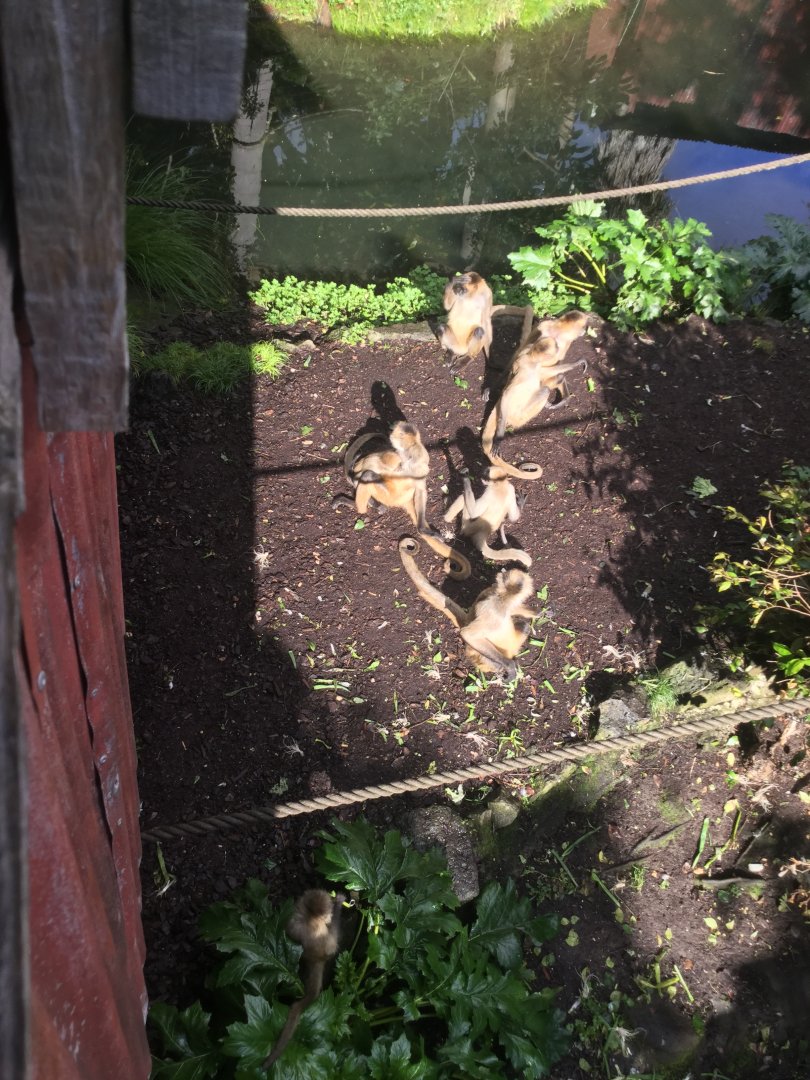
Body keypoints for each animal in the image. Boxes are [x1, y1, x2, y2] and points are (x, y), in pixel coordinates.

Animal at [263, 889, 345, 1069]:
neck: (310, 916)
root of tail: (316, 960)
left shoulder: (294, 916)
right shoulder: (324, 935)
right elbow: (332, 943)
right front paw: (338, 904)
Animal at [332, 421, 471, 579]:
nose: (390, 434)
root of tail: (405, 500)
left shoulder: (417, 459)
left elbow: (419, 487)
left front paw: (423, 529)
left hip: (389, 495)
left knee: (368, 475)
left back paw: (361, 506)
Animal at [398, 536, 535, 681]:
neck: (503, 600)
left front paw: (537, 613)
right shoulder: (493, 609)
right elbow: (468, 634)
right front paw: (510, 667)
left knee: (525, 626)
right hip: (477, 654)